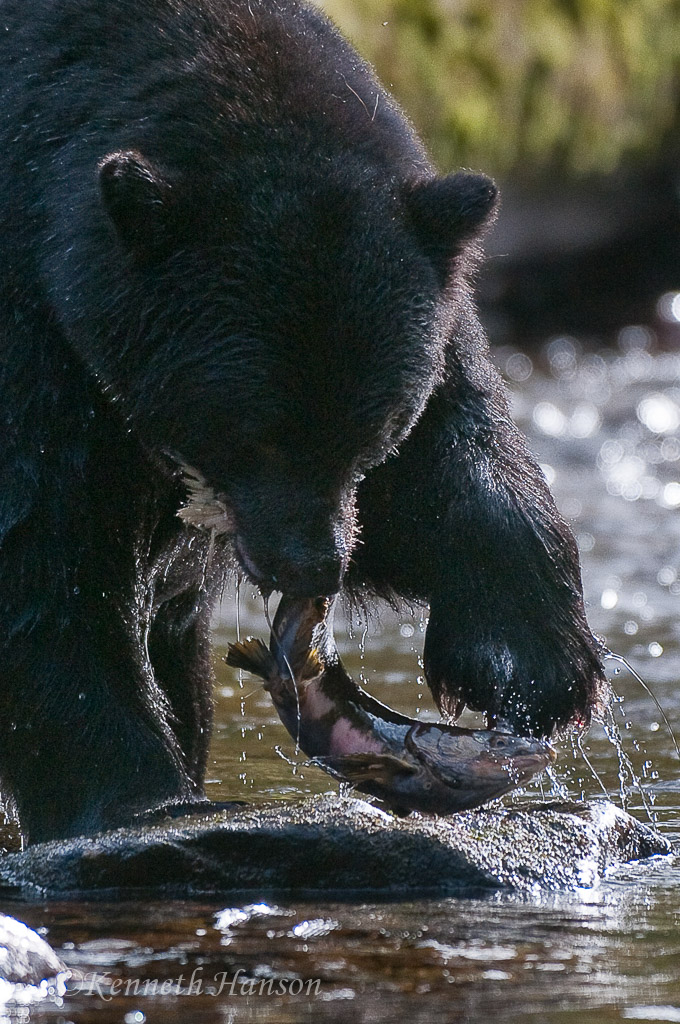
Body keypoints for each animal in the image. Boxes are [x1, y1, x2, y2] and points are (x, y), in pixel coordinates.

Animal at [0, 0, 602, 843]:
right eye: (253, 434)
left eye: (372, 434)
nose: (313, 566)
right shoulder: (31, 327)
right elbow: (42, 548)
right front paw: (141, 795)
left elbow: (448, 465)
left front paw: (531, 661)